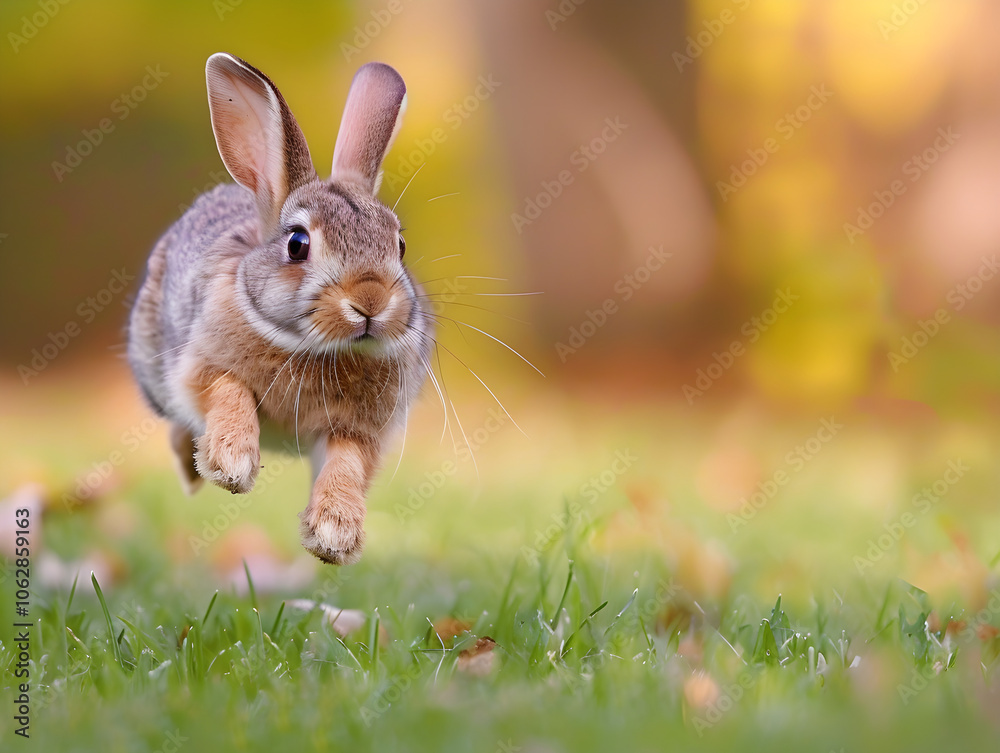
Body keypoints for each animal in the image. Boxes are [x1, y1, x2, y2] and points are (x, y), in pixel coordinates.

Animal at [127, 52, 431, 565]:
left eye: (400, 246)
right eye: (297, 244)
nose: (371, 301)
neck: (316, 347)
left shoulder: (360, 429)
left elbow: (346, 463)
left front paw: (333, 534)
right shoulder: (202, 365)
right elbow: (226, 391)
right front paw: (230, 466)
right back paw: (192, 473)